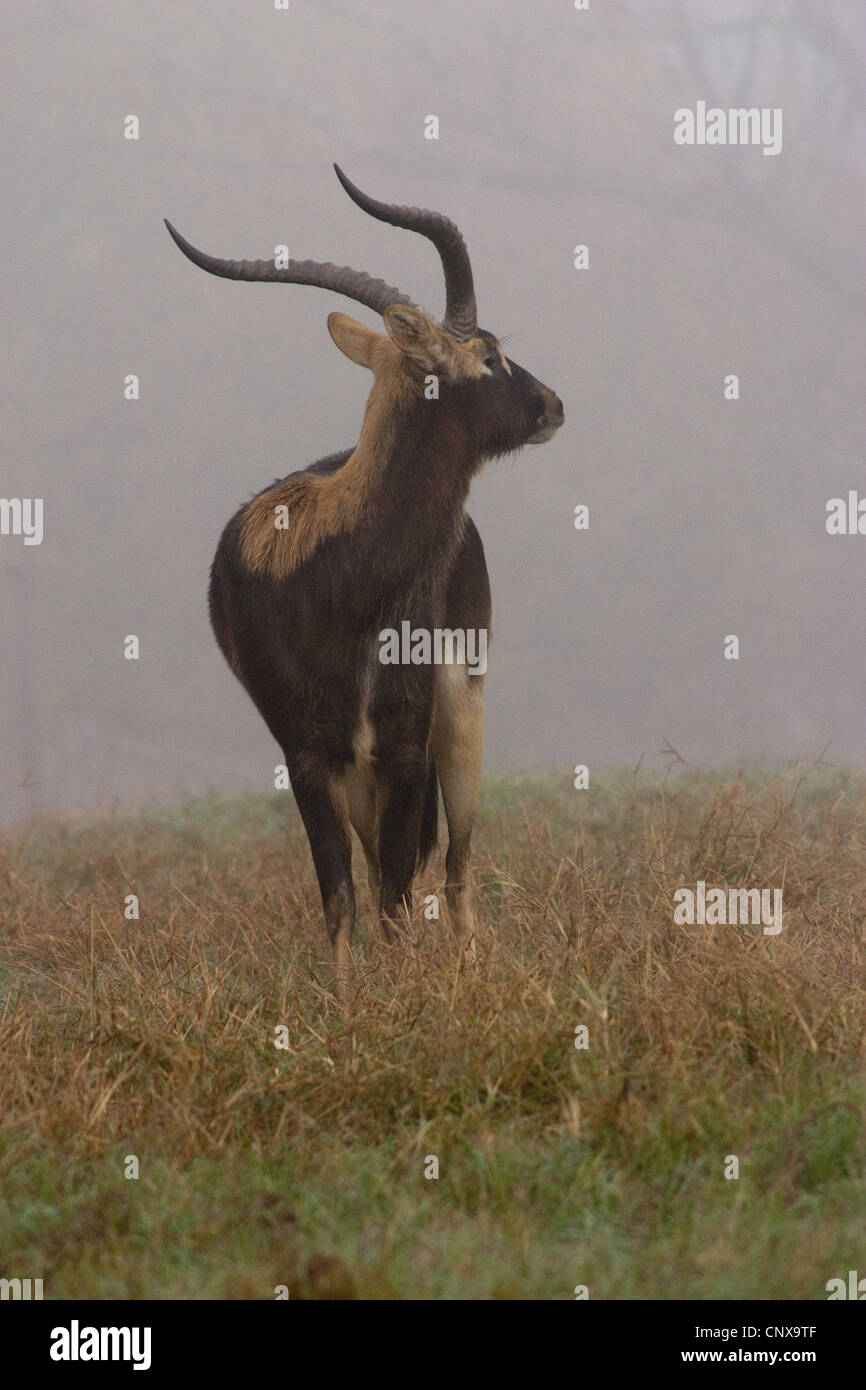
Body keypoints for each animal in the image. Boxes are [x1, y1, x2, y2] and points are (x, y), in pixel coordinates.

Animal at [166, 165, 567, 989]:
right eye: (488, 354)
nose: (552, 404)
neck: (337, 580)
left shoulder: (405, 746)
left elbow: (396, 896)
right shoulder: (308, 756)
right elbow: (342, 899)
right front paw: (350, 1003)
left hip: (459, 713)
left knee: (455, 866)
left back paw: (470, 970)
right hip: (360, 774)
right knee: (402, 869)